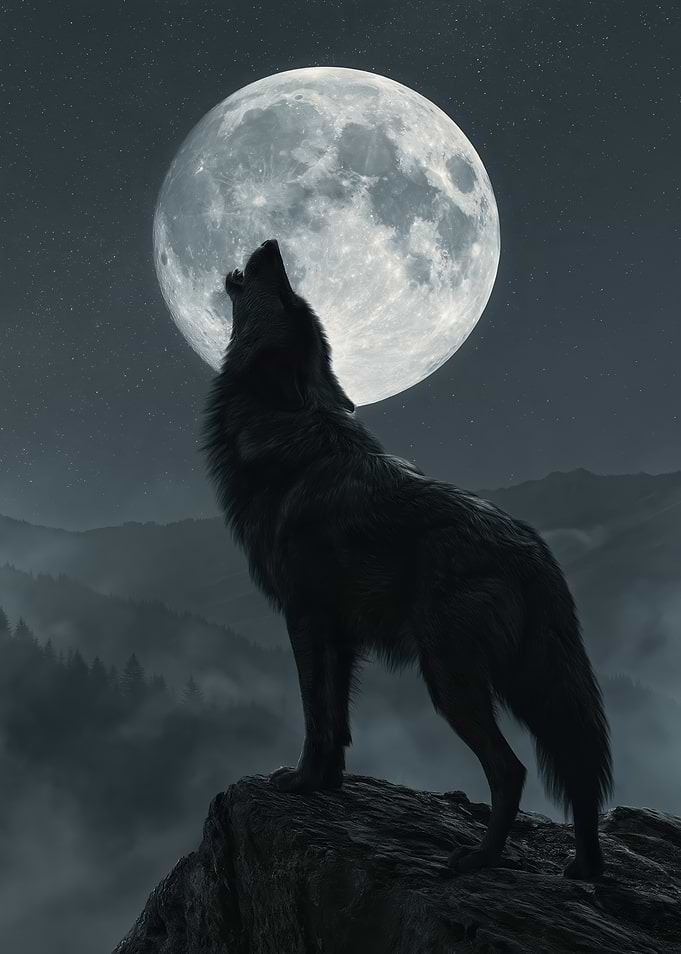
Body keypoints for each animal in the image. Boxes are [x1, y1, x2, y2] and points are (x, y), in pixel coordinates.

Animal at [201, 238, 614, 879]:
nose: (271, 245)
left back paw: (480, 857)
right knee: (575, 762)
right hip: (529, 680)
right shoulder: (342, 632)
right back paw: (585, 867)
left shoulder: (304, 615)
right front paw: (327, 782)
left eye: (289, 295)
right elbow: (338, 721)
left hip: (450, 680)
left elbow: (314, 714)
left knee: (512, 769)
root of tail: (531, 551)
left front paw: (300, 781)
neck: (280, 429)